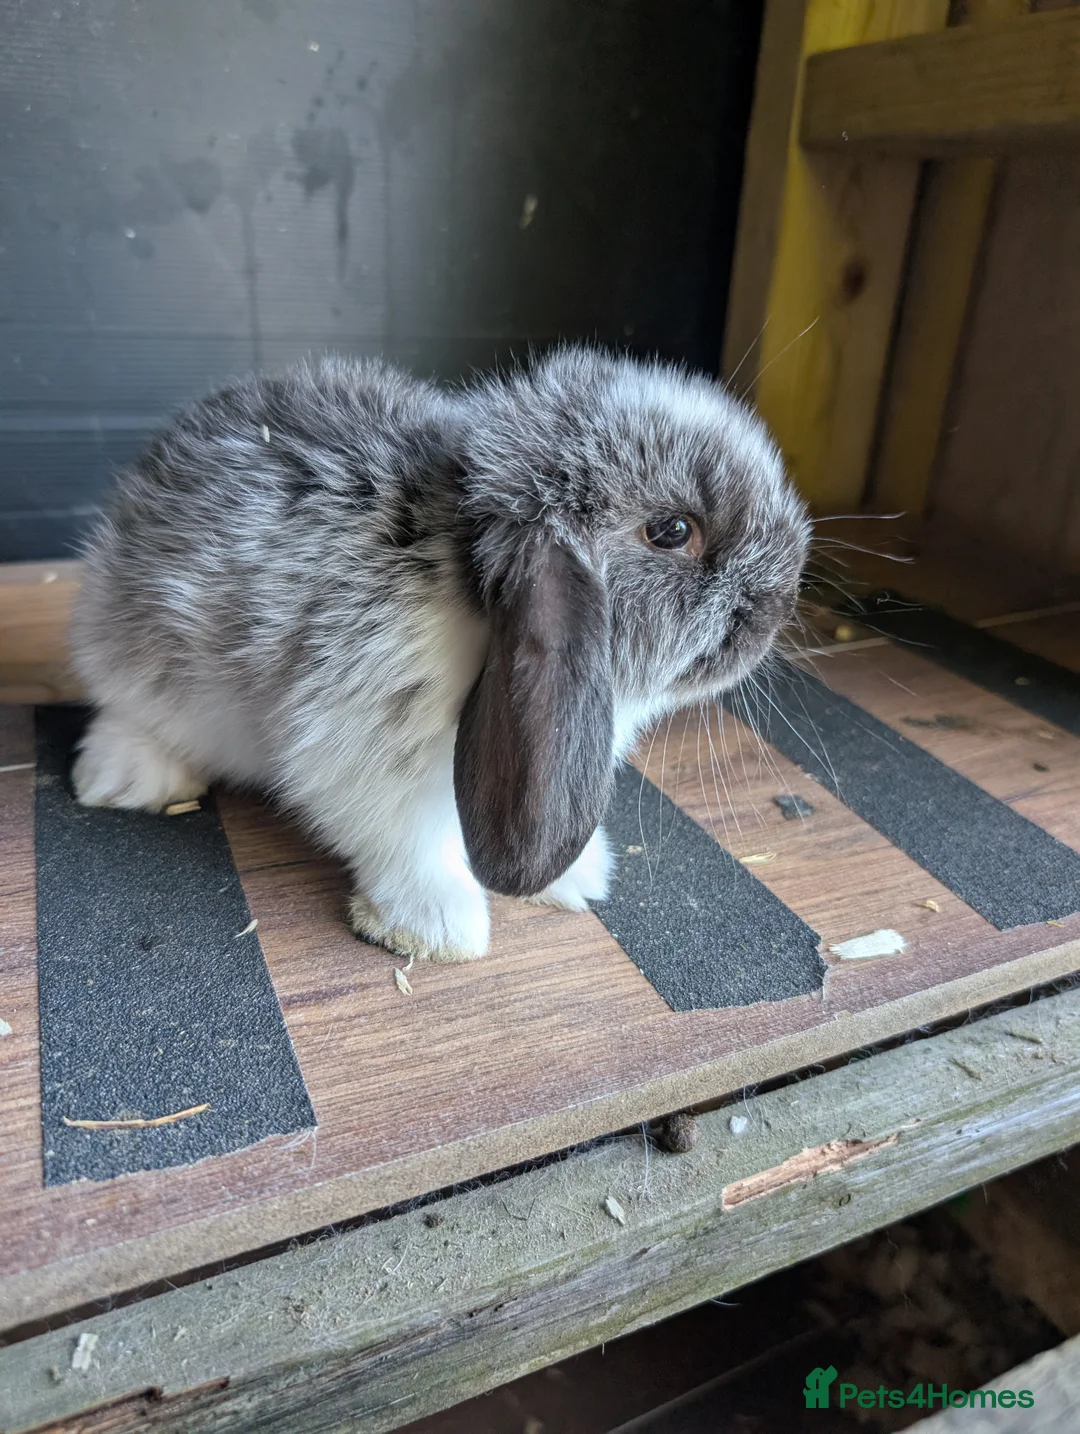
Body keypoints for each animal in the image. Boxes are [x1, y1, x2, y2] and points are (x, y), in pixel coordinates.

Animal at [71, 345, 810, 962]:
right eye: (673, 531)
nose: (780, 605)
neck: (465, 575)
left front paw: (579, 877)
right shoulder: (360, 748)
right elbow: (411, 842)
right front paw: (439, 929)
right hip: (136, 653)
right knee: (124, 705)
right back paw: (126, 778)